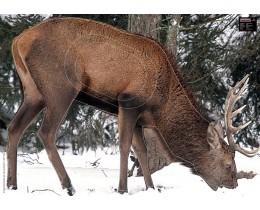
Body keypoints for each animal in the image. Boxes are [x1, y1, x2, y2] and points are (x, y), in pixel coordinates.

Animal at [7, 17, 258, 196]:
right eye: (229, 165)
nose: (233, 188)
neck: (161, 107)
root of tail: (17, 41)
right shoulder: (128, 101)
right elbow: (125, 146)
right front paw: (122, 189)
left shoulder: (140, 118)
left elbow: (142, 151)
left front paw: (151, 188)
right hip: (61, 86)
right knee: (45, 132)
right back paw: (68, 186)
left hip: (33, 92)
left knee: (14, 128)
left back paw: (11, 185)